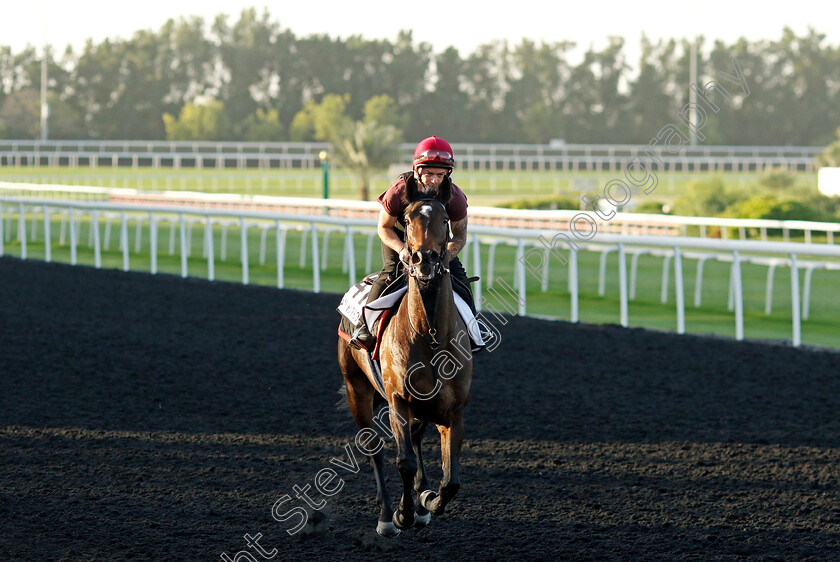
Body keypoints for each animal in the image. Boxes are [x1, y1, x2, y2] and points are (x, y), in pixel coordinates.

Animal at [338, 197, 476, 532]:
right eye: (408, 219)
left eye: (445, 219)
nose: (423, 258)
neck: (430, 336)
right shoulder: (397, 399)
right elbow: (405, 461)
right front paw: (403, 513)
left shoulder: (453, 408)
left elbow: (451, 480)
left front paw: (428, 501)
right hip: (356, 388)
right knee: (373, 447)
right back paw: (386, 514)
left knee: (414, 437)